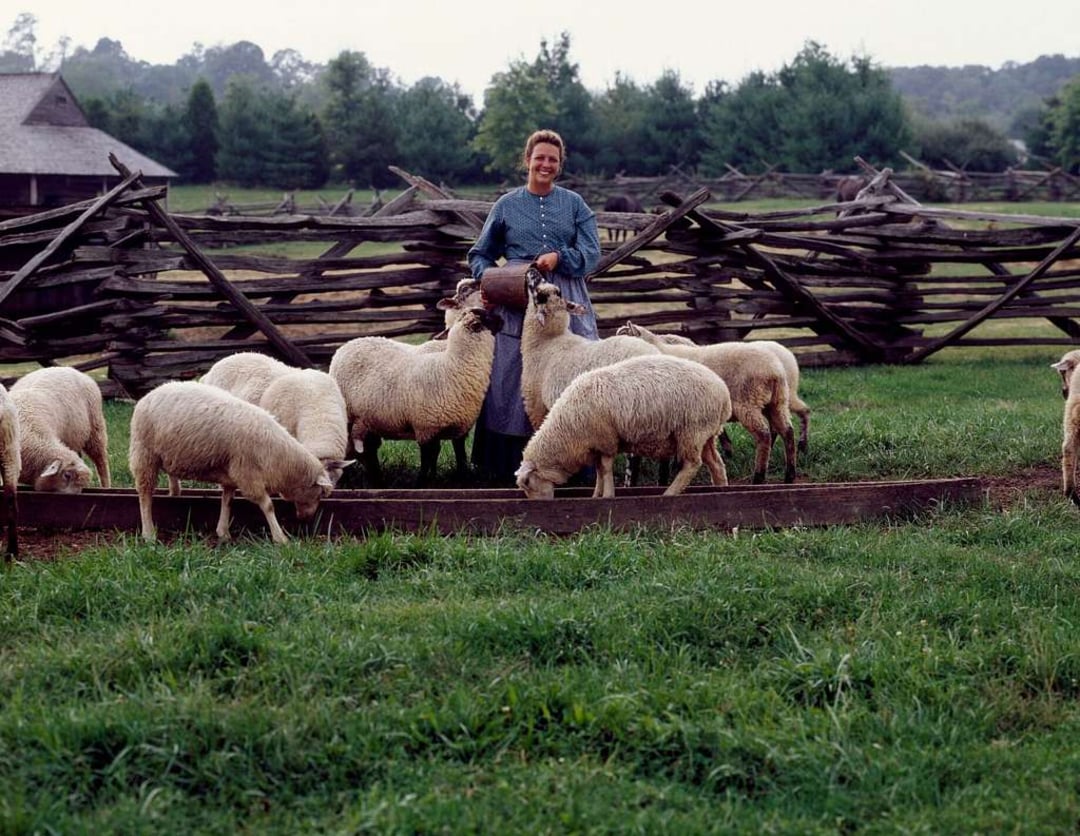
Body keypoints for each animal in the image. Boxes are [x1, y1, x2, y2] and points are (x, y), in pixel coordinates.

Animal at [129, 381, 340, 544]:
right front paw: (280, 538)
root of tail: (150, 394)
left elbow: (228, 501)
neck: (279, 458)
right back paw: (148, 533)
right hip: (144, 453)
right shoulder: (247, 473)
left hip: (169, 454)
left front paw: (223, 532)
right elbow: (267, 505)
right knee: (145, 493)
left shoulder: (232, 472)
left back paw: (175, 493)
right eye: (320, 493)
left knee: (170, 477)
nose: (306, 519)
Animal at [329, 305, 503, 486]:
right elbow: (428, 457)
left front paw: (461, 479)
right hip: (348, 415)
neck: (453, 364)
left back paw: (377, 479)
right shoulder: (425, 427)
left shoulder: (460, 427)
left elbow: (459, 455)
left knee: (369, 448)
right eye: (486, 317)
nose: (502, 320)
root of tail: (346, 346)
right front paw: (422, 482)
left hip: (367, 418)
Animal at [515, 354, 731, 498]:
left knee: (692, 464)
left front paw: (608, 496)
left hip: (691, 431)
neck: (566, 430)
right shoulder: (596, 445)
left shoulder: (606, 440)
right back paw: (721, 489)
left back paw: (669, 493)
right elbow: (599, 472)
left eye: (527, 483)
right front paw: (596, 495)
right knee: (716, 463)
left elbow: (605, 469)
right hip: (706, 433)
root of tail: (723, 394)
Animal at [615, 321, 796, 483]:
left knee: (764, 435)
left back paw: (758, 477)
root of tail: (775, 371)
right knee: (787, 432)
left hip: (747, 404)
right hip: (777, 402)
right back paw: (789, 476)